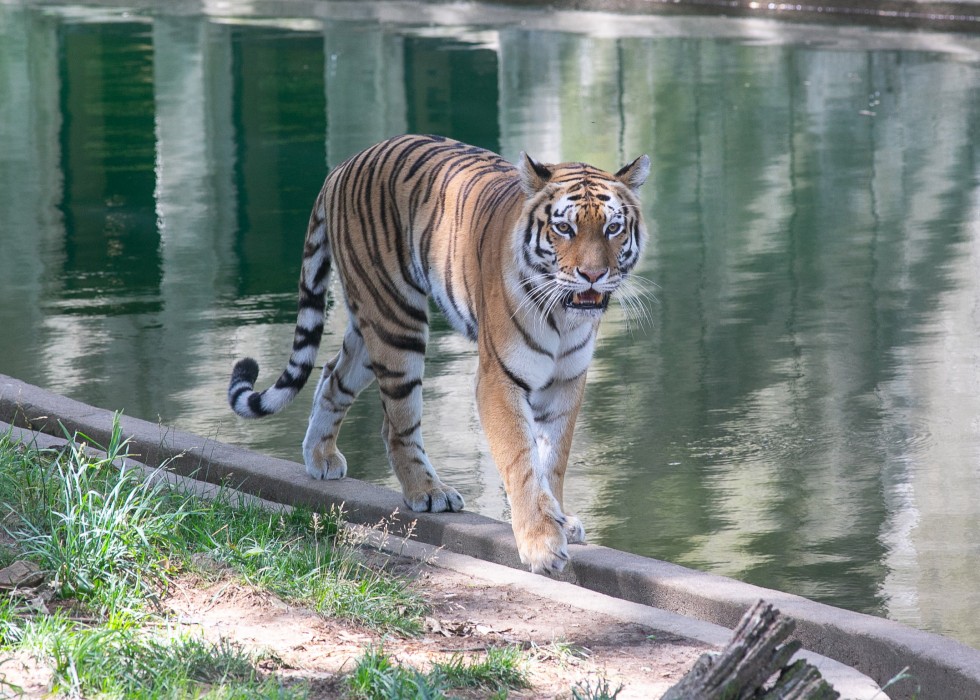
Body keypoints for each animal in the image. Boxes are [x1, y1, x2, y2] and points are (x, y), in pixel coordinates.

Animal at [230, 133, 652, 576]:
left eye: (612, 228)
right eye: (564, 228)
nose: (593, 276)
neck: (564, 316)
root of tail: (344, 164)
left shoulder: (567, 379)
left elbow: (553, 457)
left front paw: (560, 518)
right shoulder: (498, 379)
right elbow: (521, 460)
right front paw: (541, 543)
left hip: (370, 326)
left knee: (332, 375)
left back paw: (321, 457)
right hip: (396, 322)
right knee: (396, 424)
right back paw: (428, 491)